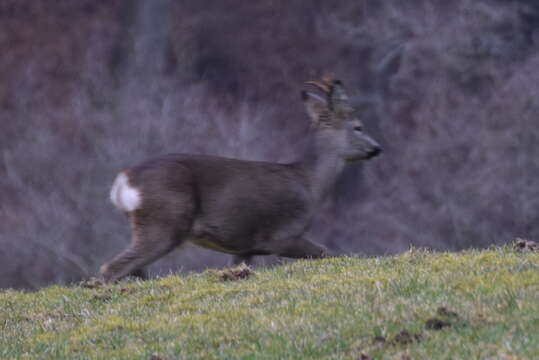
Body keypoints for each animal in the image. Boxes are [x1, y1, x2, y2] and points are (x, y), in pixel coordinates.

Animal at [100, 77, 380, 282]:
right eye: (358, 126)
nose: (377, 148)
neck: (309, 183)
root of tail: (123, 182)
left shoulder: (244, 248)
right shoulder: (282, 235)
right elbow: (327, 253)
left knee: (133, 269)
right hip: (165, 220)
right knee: (112, 268)